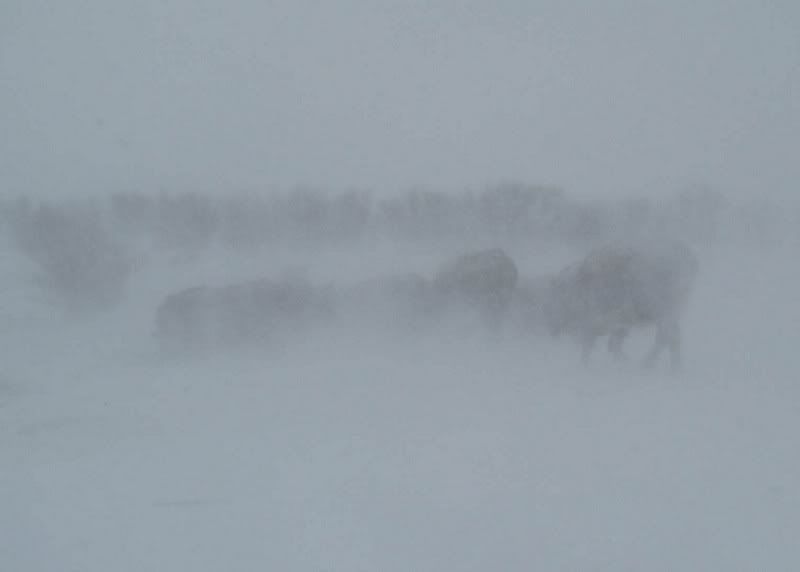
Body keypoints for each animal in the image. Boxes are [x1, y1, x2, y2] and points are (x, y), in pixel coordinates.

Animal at [543, 240, 699, 370]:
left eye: (554, 300)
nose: (551, 328)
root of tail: (686, 255)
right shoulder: (619, 324)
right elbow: (612, 344)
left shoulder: (596, 322)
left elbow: (593, 345)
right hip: (669, 314)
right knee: (669, 338)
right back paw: (671, 365)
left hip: (665, 314)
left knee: (667, 338)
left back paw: (650, 364)